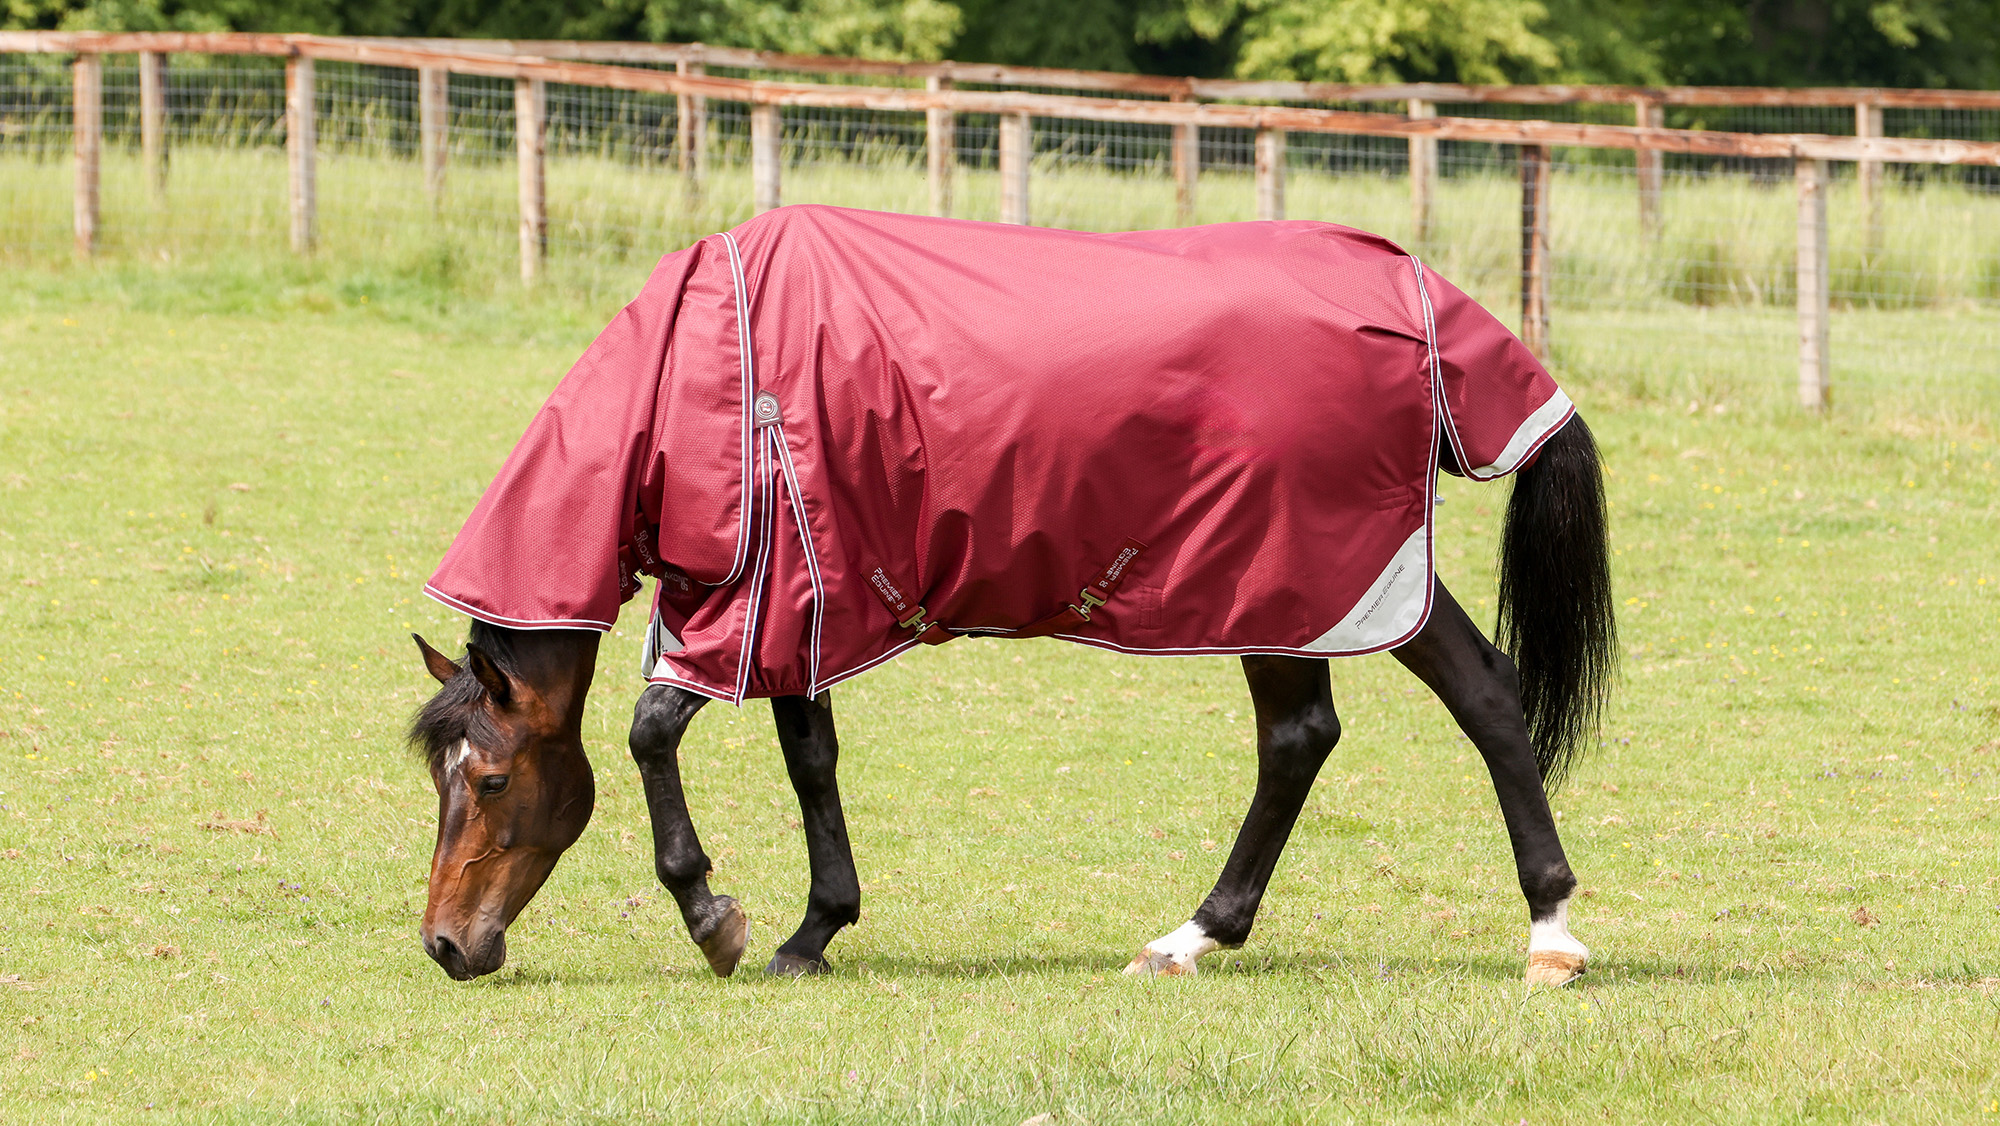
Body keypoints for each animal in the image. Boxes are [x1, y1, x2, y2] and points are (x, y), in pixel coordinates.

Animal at [405, 206, 1615, 986]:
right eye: (440, 779)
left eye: (495, 779)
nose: (446, 946)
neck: (710, 370)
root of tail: (1413, 288)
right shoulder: (802, 601)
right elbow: (811, 760)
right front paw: (815, 928)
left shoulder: (760, 603)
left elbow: (654, 729)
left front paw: (717, 919)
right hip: (1324, 588)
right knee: (1395, 714)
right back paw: (1207, 937)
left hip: (1300, 581)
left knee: (1387, 717)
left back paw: (1541, 936)